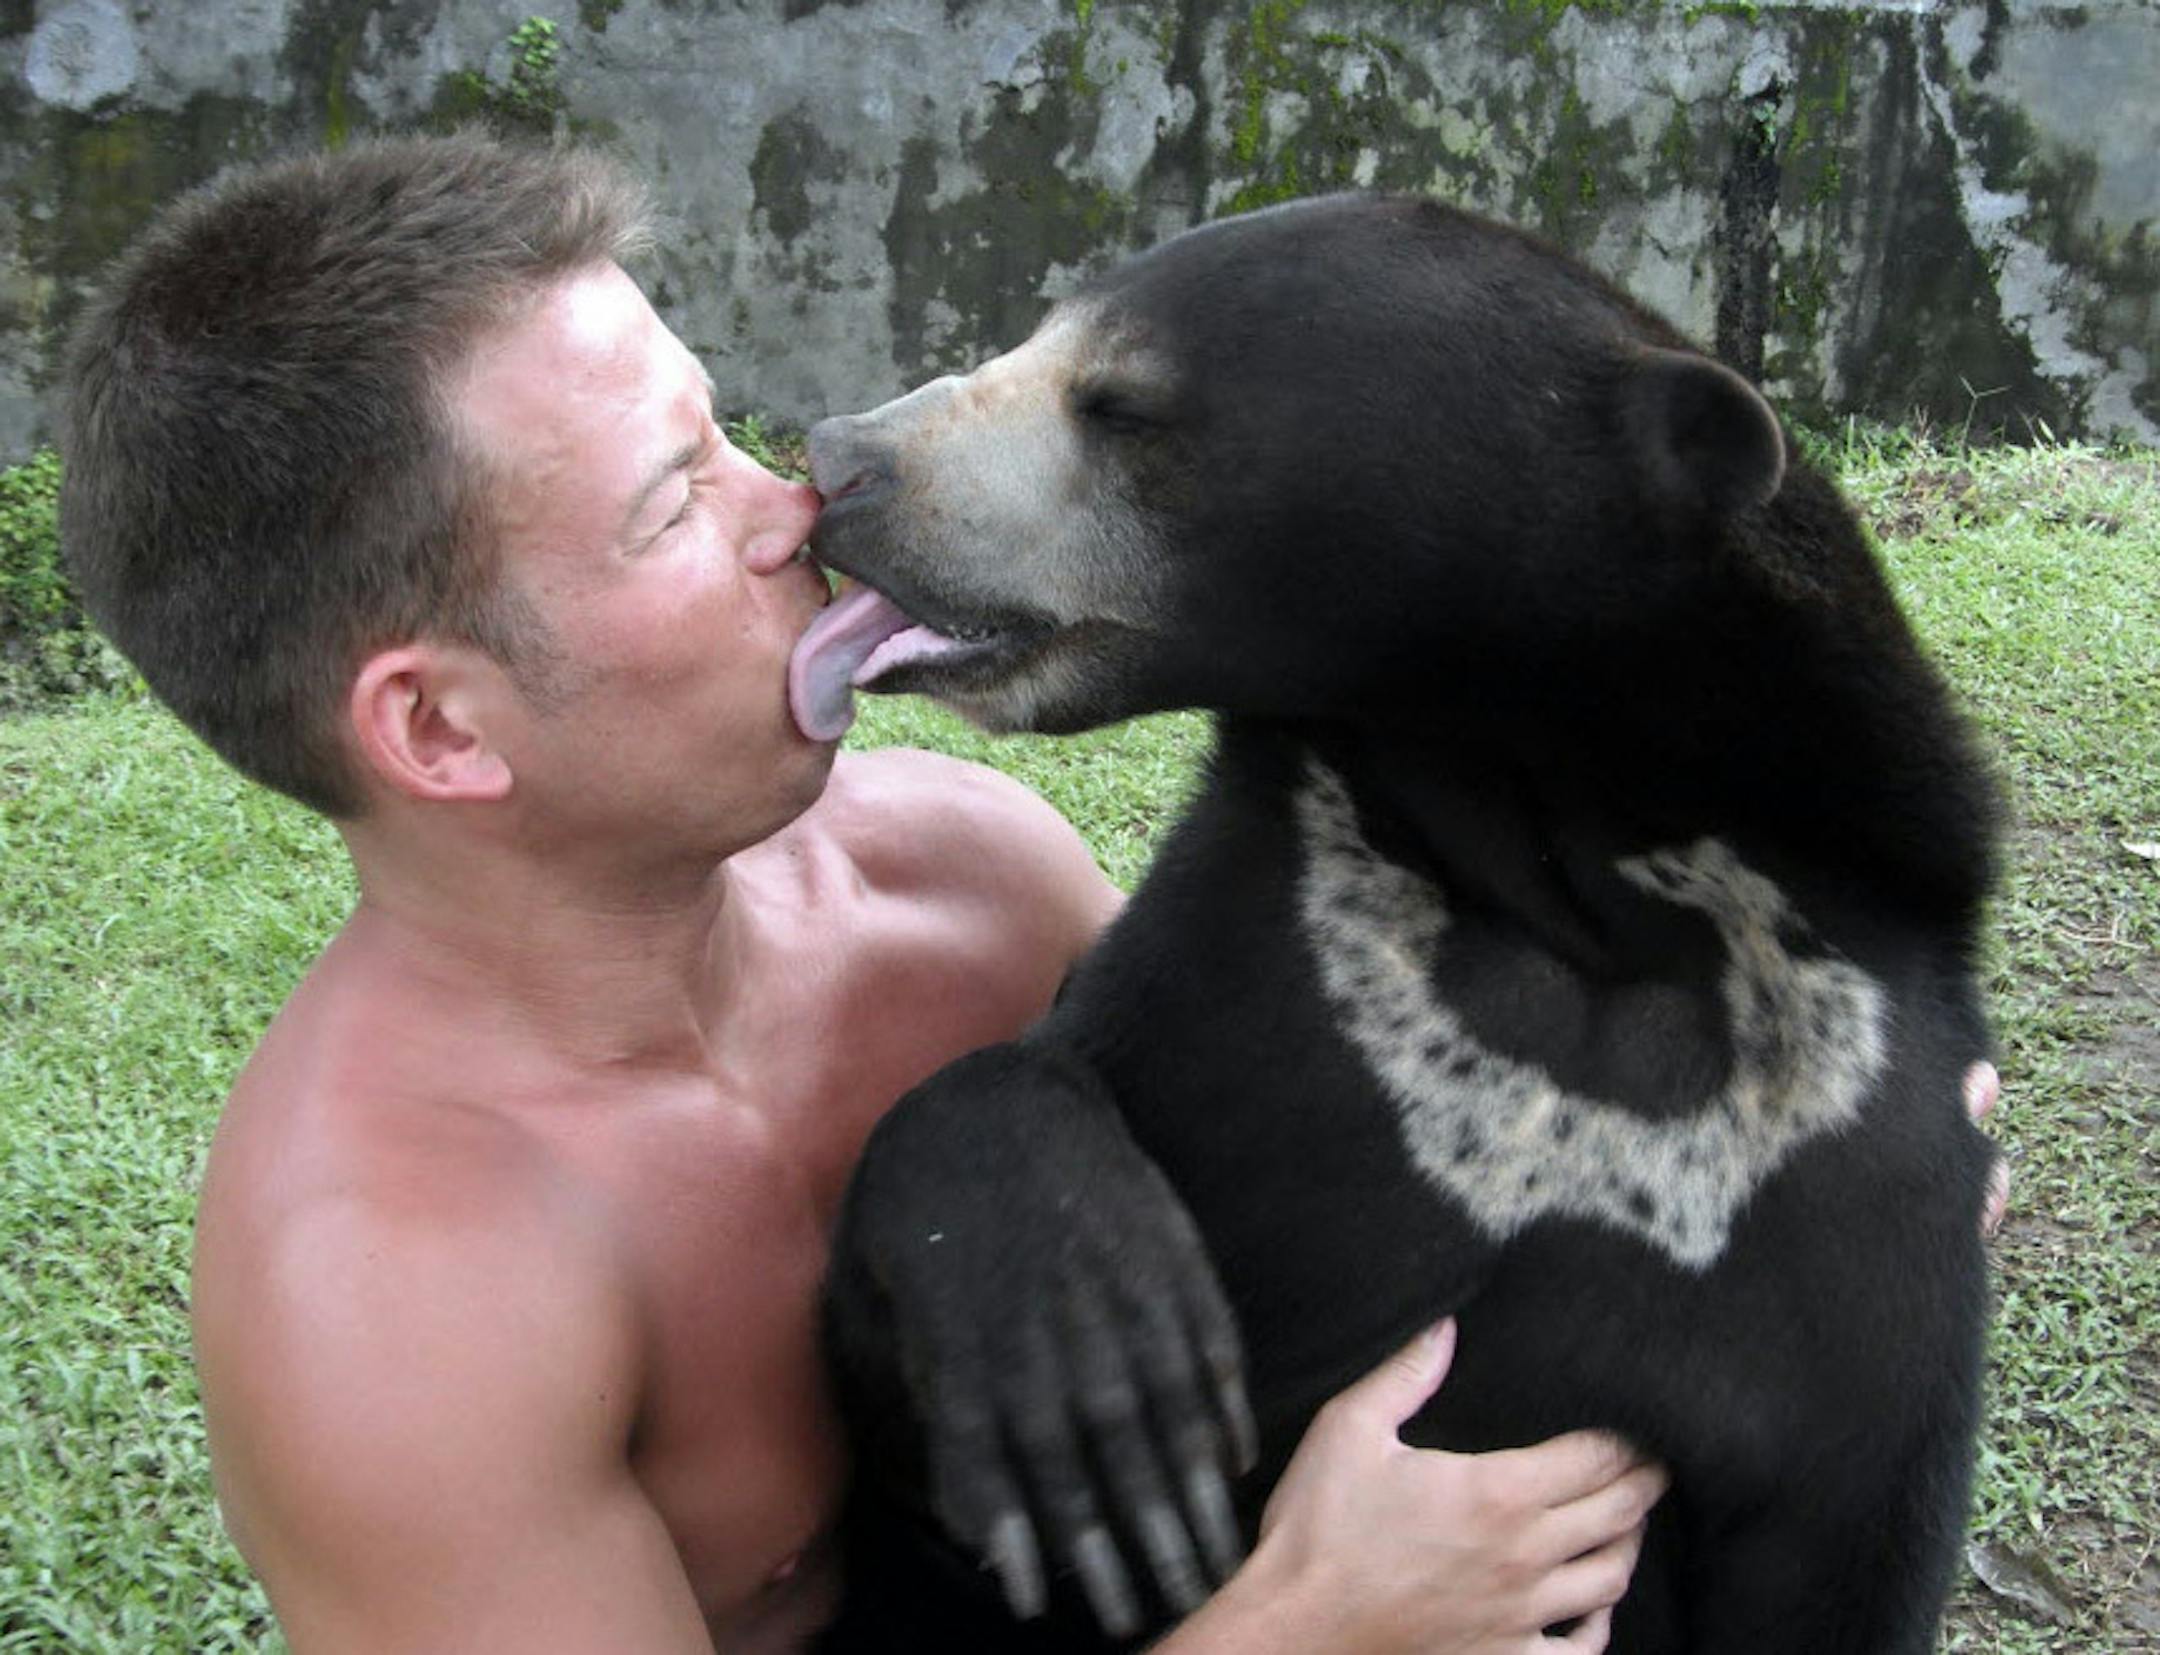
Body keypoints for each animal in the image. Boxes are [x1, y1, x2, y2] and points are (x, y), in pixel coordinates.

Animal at [797, 194, 1997, 1654]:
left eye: (1121, 403)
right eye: (1041, 334)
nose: (838, 463)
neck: (1567, 885)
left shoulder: (1861, 1171)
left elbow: (1837, 1551)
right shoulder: (1267, 941)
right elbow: (911, 1418)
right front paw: (1082, 1346)